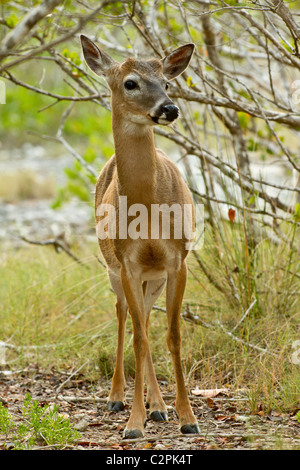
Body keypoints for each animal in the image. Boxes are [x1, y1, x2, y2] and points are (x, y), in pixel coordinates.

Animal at [79, 35, 199, 438]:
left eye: (167, 83)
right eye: (130, 82)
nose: (170, 109)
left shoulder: (177, 261)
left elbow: (172, 336)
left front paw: (187, 417)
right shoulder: (128, 262)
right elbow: (138, 337)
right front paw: (133, 423)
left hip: (154, 277)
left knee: (144, 318)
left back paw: (159, 407)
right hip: (113, 268)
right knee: (125, 318)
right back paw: (119, 398)